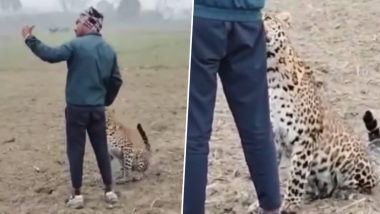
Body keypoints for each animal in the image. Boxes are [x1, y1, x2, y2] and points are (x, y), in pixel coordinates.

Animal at [262, 11, 380, 212]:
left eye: (267, 18)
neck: (271, 75)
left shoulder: (304, 138)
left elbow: (296, 176)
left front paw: (290, 204)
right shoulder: (273, 137)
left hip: (348, 159)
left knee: (366, 186)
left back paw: (344, 193)